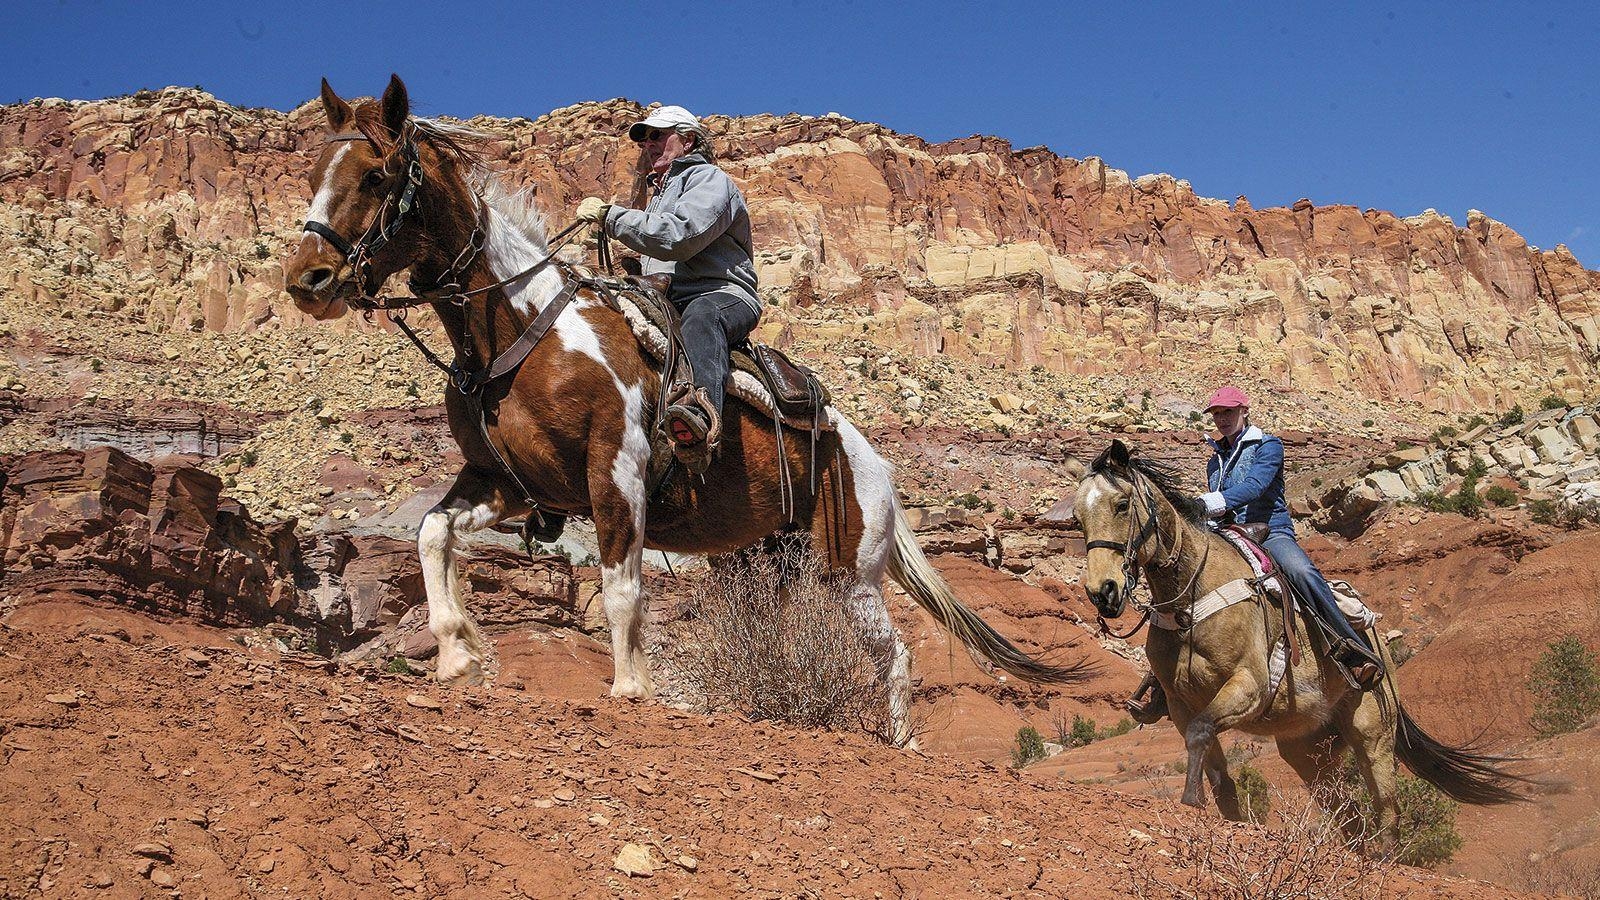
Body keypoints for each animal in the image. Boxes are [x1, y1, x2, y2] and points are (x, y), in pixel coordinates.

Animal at [284, 75, 1088, 743]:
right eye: (314, 175)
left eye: (376, 175)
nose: (307, 281)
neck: (522, 329)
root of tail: (876, 463)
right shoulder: (510, 483)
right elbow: (431, 533)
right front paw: (457, 651)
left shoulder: (616, 472)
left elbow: (621, 591)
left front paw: (630, 689)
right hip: (768, 564)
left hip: (851, 571)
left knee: (892, 655)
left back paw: (902, 743)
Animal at [1068, 441, 1516, 839]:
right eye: (1077, 516)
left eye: (1121, 505)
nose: (1102, 592)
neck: (1190, 599)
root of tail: (1377, 646)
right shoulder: (1179, 704)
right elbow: (1217, 771)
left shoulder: (1248, 685)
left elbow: (1201, 732)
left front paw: (1191, 801)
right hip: (1307, 750)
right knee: (1349, 817)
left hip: (1371, 729)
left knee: (1386, 808)